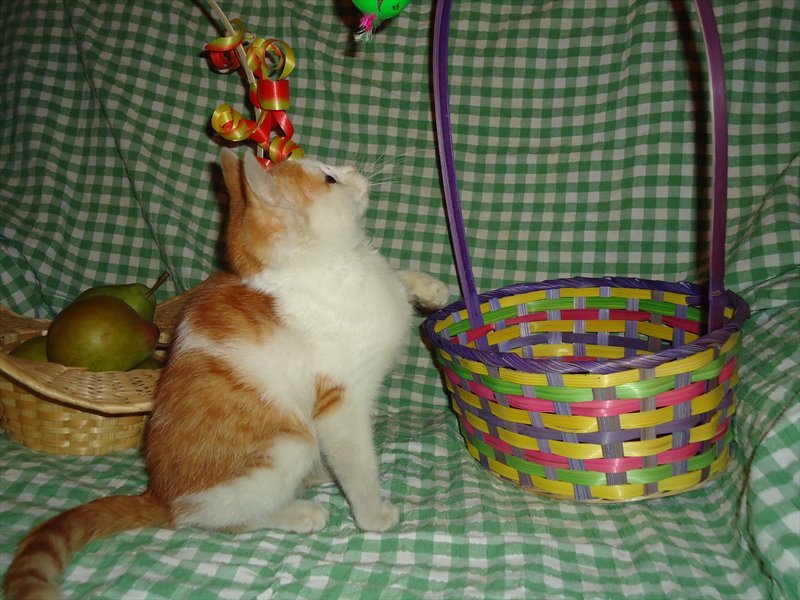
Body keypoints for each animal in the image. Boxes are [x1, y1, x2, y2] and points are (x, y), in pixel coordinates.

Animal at [3, 150, 450, 600]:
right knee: (219, 519)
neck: (342, 267)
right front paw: (372, 513)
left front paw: (430, 288)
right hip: (289, 444)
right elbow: (358, 464)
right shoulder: (341, 403)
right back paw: (297, 513)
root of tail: (159, 494)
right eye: (329, 179)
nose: (354, 169)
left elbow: (396, 278)